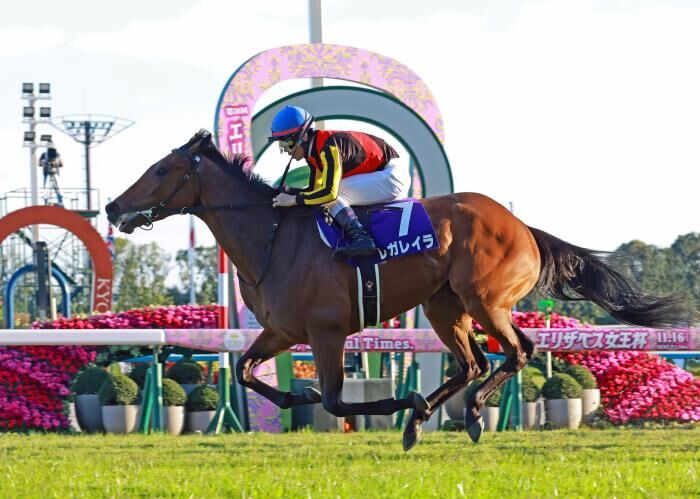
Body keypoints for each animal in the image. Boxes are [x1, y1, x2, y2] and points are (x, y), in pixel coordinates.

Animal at [106, 130, 692, 450]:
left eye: (160, 169)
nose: (112, 207)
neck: (273, 237)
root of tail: (522, 227)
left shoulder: (325, 332)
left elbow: (337, 401)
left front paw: (390, 400)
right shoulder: (281, 331)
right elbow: (244, 372)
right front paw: (300, 395)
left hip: (484, 300)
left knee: (517, 352)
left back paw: (467, 413)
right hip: (442, 306)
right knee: (475, 362)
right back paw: (424, 420)